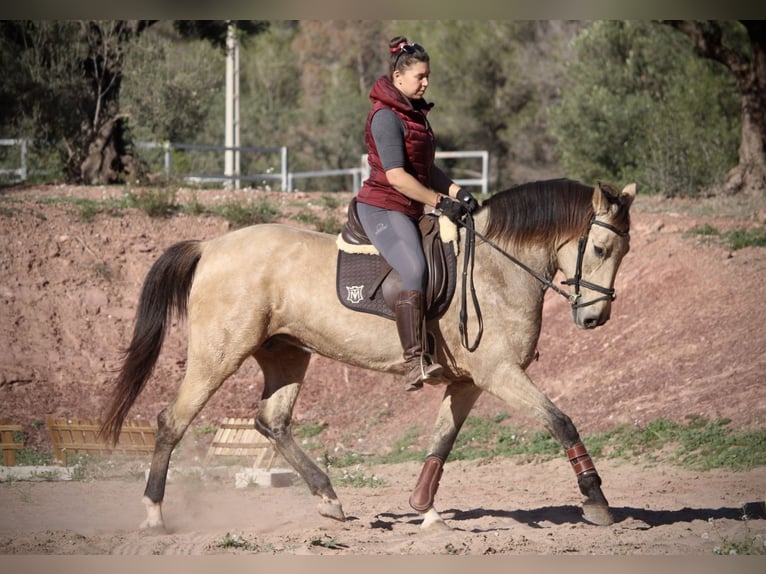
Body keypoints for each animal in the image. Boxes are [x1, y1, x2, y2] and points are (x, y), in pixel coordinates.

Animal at [100, 179, 636, 532]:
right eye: (600, 248)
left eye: (623, 252)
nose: (594, 318)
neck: (494, 264)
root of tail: (210, 245)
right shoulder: (500, 374)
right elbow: (561, 422)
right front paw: (597, 501)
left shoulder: (469, 381)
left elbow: (441, 442)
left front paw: (425, 508)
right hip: (219, 353)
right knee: (172, 420)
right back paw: (154, 514)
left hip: (286, 355)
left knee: (271, 422)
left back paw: (329, 499)